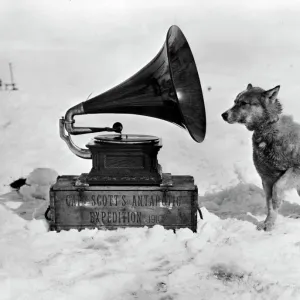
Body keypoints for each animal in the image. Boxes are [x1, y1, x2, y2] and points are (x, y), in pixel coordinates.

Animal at [220, 83, 300, 231]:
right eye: (235, 102)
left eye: (243, 103)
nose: (223, 115)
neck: (268, 132)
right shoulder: (267, 179)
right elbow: (270, 206)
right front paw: (268, 224)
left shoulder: (294, 170)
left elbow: (278, 187)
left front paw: (277, 201)